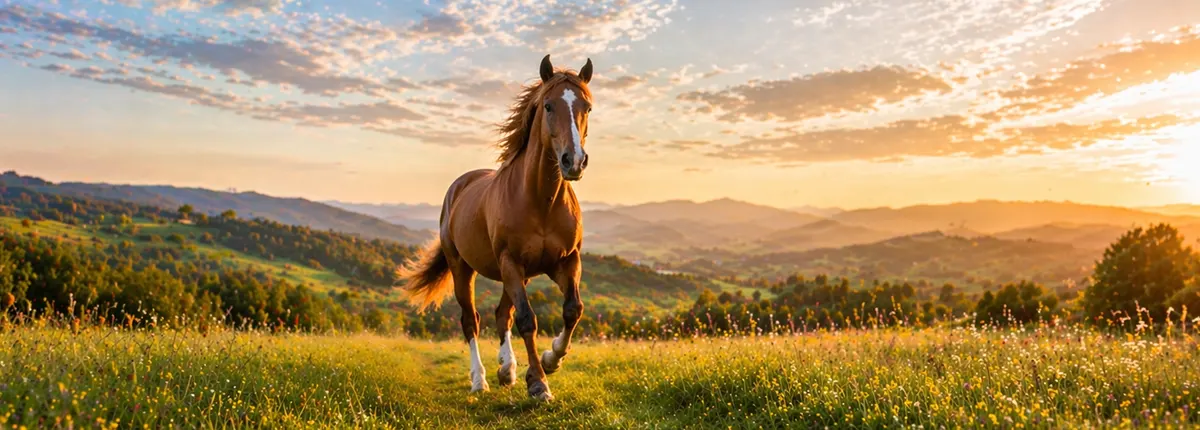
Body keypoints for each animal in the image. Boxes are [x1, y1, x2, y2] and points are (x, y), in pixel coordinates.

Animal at [397, 54, 594, 402]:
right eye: (548, 105)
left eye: (587, 107)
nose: (573, 161)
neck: (541, 201)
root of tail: (459, 186)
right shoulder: (510, 262)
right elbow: (528, 320)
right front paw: (539, 383)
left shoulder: (566, 261)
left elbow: (572, 310)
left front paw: (550, 360)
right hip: (464, 269)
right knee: (471, 321)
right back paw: (480, 380)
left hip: (516, 274)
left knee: (503, 314)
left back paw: (508, 369)